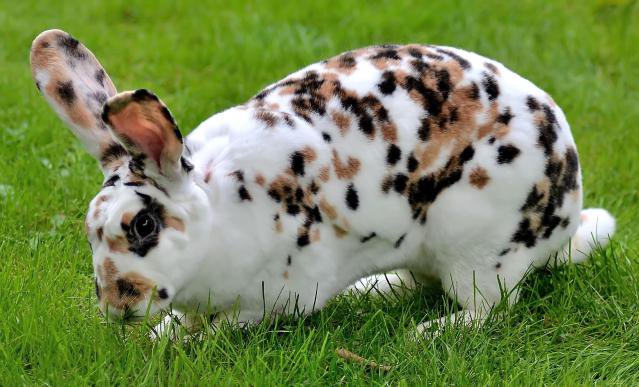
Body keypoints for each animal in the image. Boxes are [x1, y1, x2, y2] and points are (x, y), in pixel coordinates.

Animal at [30, 30, 616, 340]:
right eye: (90, 231)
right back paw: (372, 290)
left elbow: (227, 325)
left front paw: (170, 340)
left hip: (477, 250)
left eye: (144, 225)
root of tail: (566, 219)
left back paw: (425, 333)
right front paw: (163, 334)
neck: (219, 216)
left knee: (488, 310)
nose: (115, 306)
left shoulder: (275, 295)